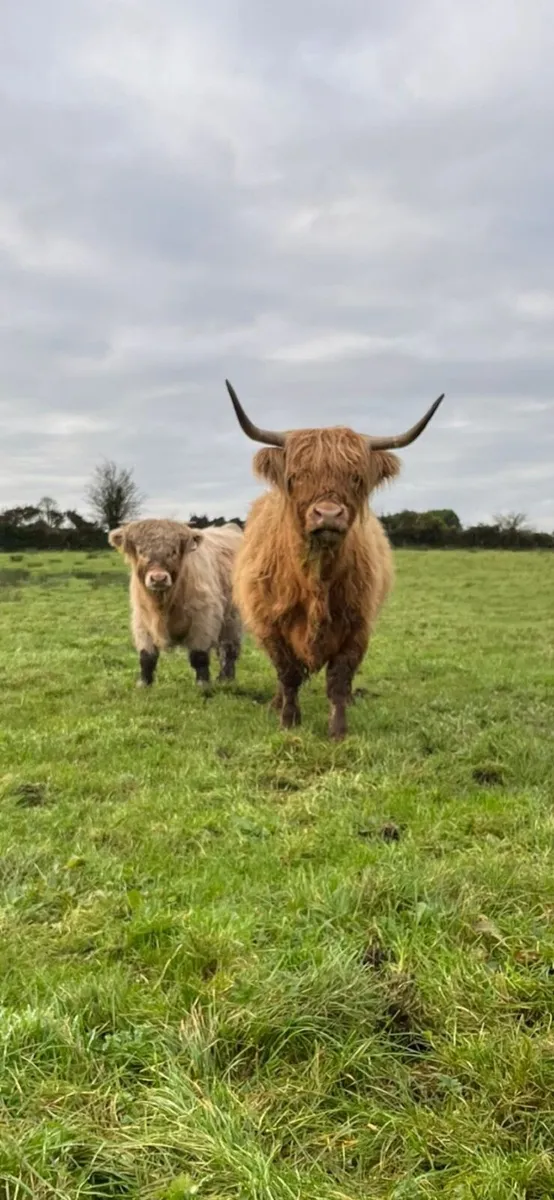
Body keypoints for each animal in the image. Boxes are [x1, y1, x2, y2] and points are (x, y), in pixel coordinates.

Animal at [108, 517, 243, 692]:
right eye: (141, 551)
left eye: (173, 552)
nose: (158, 578)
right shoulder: (142, 620)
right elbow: (147, 656)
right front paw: (144, 684)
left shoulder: (203, 619)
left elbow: (199, 655)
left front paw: (203, 684)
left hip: (232, 618)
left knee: (228, 648)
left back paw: (226, 678)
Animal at [226, 380, 444, 739]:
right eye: (296, 476)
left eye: (355, 477)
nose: (327, 514)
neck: (316, 577)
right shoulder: (269, 624)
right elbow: (287, 674)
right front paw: (288, 721)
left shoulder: (358, 626)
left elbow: (339, 679)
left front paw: (338, 731)